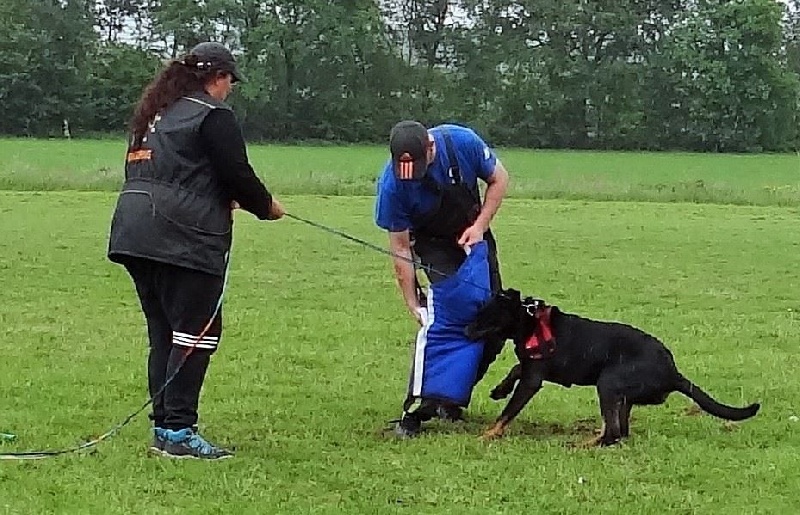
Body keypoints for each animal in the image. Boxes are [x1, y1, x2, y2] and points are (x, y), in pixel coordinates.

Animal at [460, 290, 760, 448]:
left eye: (486, 316)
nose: (465, 330)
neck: (529, 321)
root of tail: (673, 372)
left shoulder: (533, 379)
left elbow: (507, 412)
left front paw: (487, 434)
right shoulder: (531, 369)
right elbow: (514, 370)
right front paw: (499, 390)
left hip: (608, 382)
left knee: (614, 432)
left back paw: (582, 445)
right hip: (622, 396)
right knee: (619, 432)